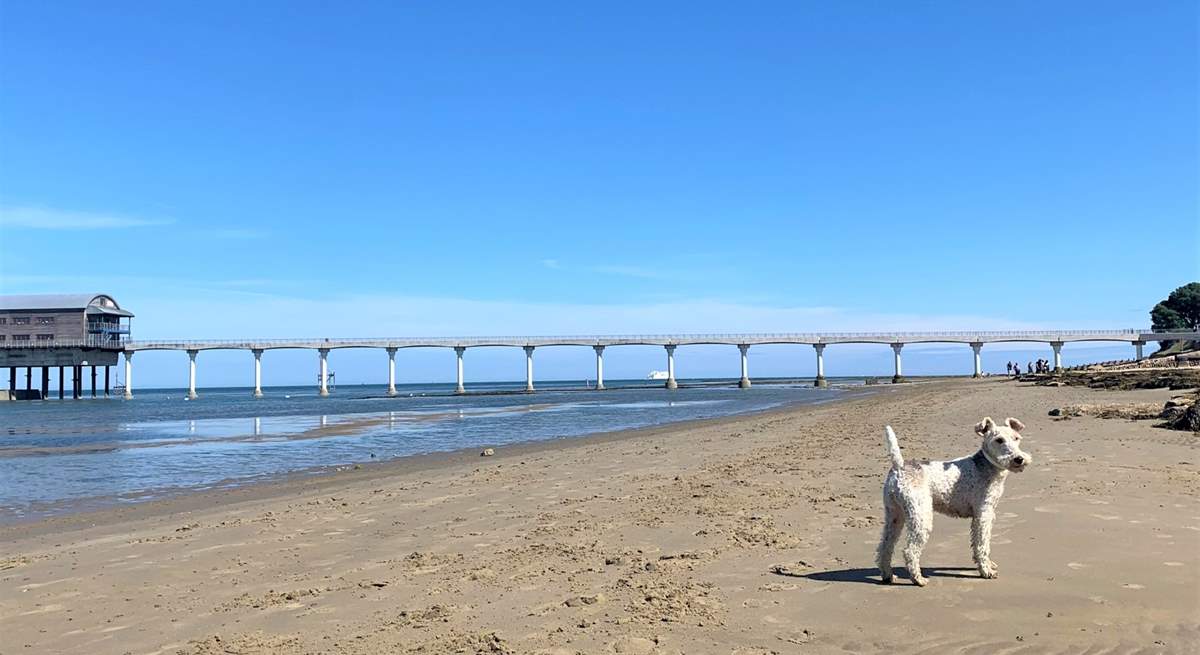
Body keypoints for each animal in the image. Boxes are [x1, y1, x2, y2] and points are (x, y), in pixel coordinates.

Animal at [873, 417, 1032, 585]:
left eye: (1016, 438)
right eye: (999, 440)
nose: (1019, 459)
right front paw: (986, 571)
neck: (987, 466)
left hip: (894, 515)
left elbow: (978, 543)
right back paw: (918, 579)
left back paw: (888, 576)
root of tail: (899, 468)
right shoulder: (984, 514)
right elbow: (982, 544)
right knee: (910, 551)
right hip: (921, 516)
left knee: (885, 546)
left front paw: (987, 565)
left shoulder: (983, 515)